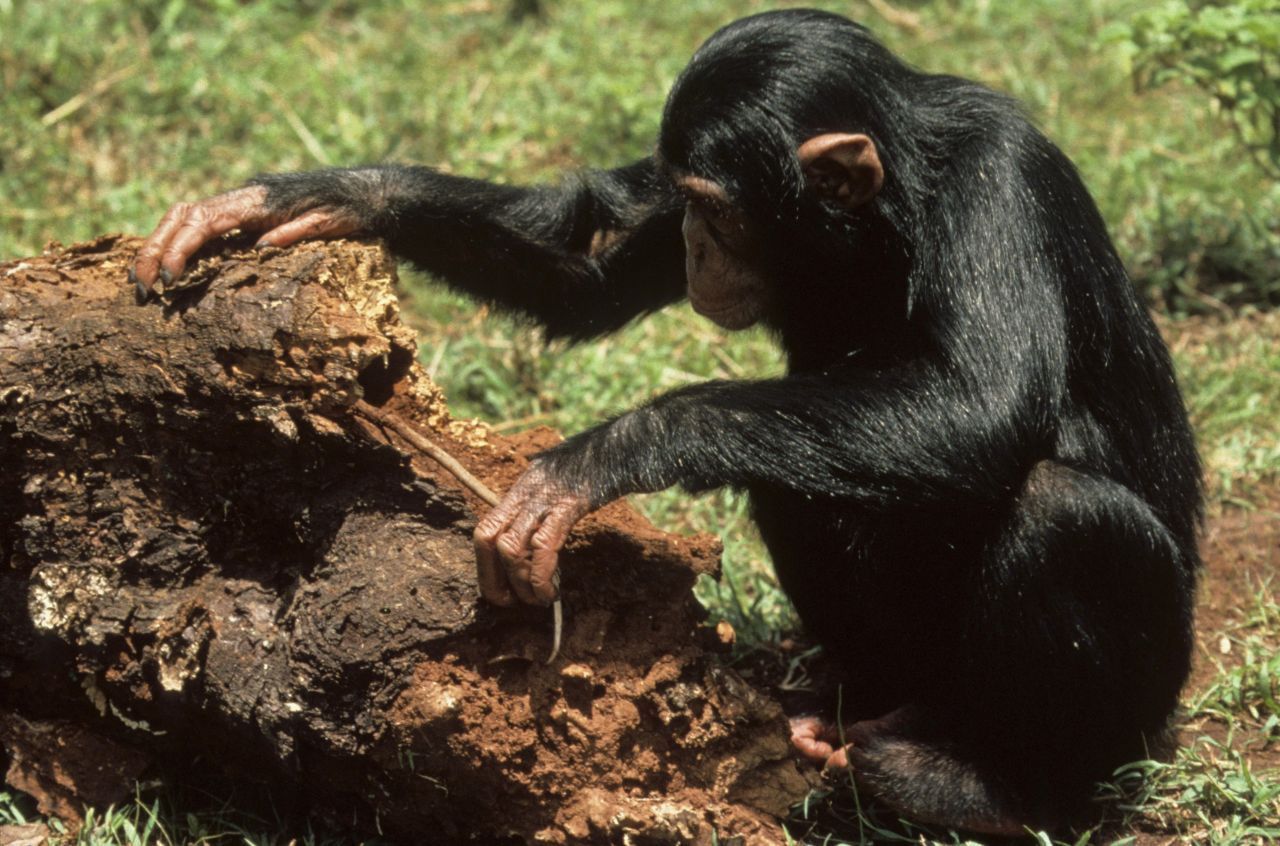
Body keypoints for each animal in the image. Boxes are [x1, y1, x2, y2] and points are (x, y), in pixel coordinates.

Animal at [132, 9, 1198, 834]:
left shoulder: (995, 180)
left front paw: (595, 461)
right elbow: (586, 267)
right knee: (801, 477)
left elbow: (984, 403)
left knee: (1062, 508)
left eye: (715, 209)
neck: (884, 213)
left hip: (1143, 711)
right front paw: (330, 194)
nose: (688, 242)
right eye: (680, 200)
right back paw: (837, 707)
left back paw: (982, 788)